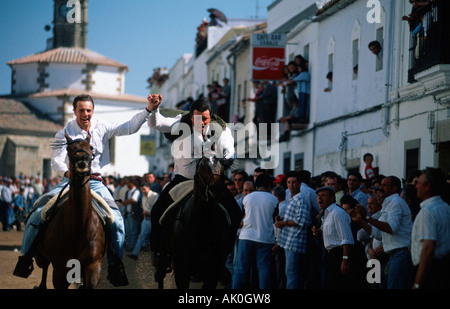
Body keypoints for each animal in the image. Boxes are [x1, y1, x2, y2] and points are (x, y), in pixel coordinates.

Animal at [33, 132, 105, 288]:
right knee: (44, 268)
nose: (82, 161)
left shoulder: (93, 266)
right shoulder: (61, 269)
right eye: (68, 148)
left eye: (90, 147)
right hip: (42, 258)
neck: (79, 225)